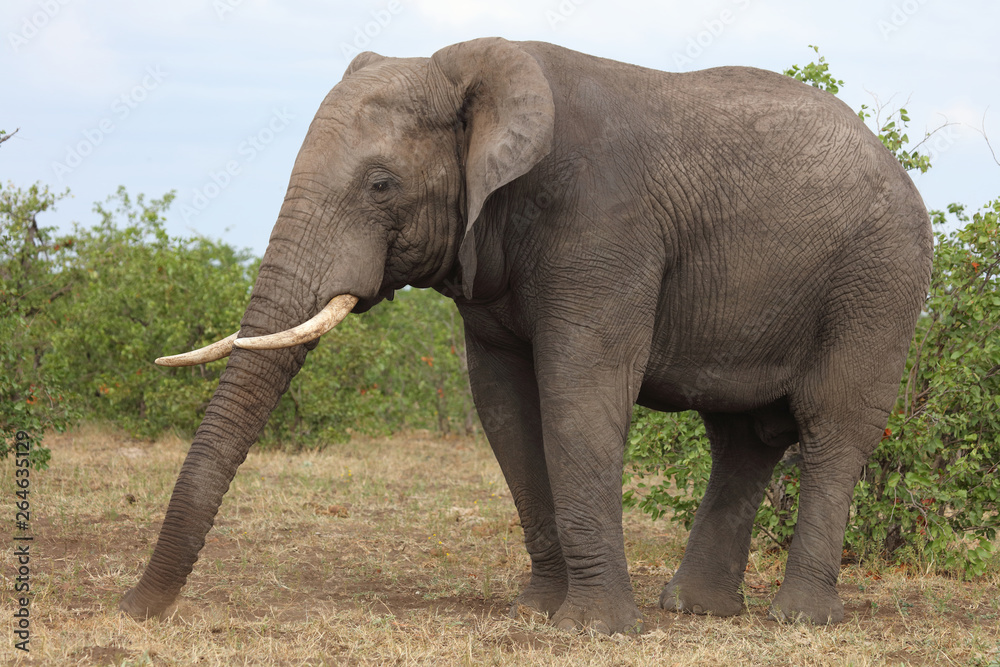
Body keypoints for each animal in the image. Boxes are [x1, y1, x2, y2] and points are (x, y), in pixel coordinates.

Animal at [120, 37, 932, 634]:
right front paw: (539, 612)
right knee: (741, 437)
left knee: (832, 427)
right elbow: (505, 409)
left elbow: (580, 395)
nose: (133, 608)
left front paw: (594, 630)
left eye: (381, 185)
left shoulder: (603, 226)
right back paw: (695, 609)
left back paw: (799, 619)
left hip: (880, 279)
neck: (468, 73)